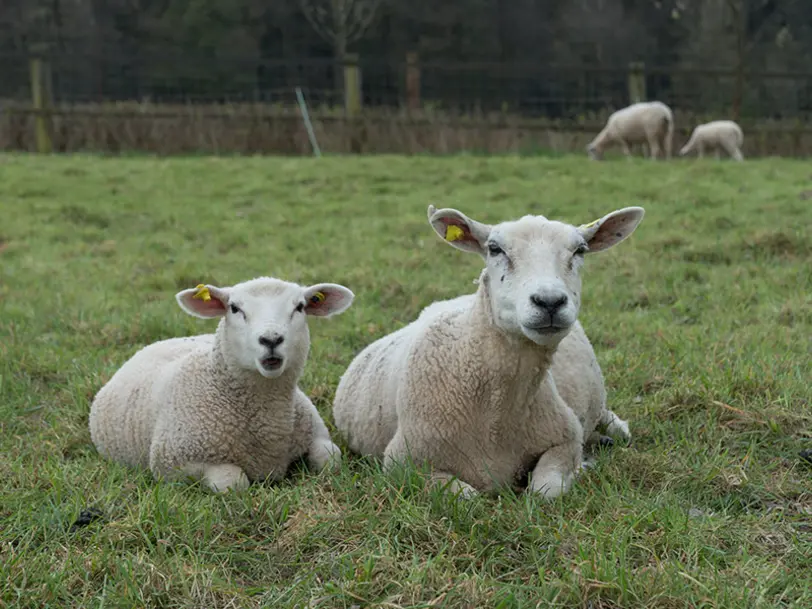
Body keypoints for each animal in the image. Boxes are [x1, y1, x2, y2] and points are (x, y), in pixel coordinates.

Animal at [89, 274, 356, 492]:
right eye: (235, 308)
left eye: (299, 307)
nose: (271, 339)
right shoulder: (174, 462)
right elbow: (233, 482)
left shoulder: (316, 434)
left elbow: (331, 459)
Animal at [334, 204, 644, 498]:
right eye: (495, 249)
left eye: (580, 250)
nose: (549, 301)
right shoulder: (403, 464)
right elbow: (468, 497)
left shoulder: (565, 437)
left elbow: (546, 491)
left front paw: (582, 467)